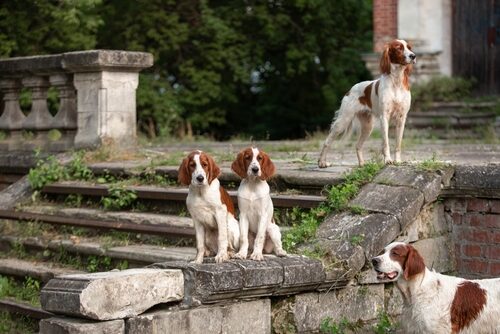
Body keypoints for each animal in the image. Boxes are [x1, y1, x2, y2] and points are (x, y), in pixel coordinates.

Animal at [318, 39, 416, 167]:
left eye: (409, 47)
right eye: (399, 48)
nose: (413, 56)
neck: (396, 81)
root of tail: (350, 90)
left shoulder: (401, 118)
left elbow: (398, 144)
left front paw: (398, 161)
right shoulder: (384, 117)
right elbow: (386, 143)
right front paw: (388, 160)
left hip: (367, 126)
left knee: (358, 145)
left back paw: (362, 164)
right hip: (343, 121)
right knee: (327, 141)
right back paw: (322, 162)